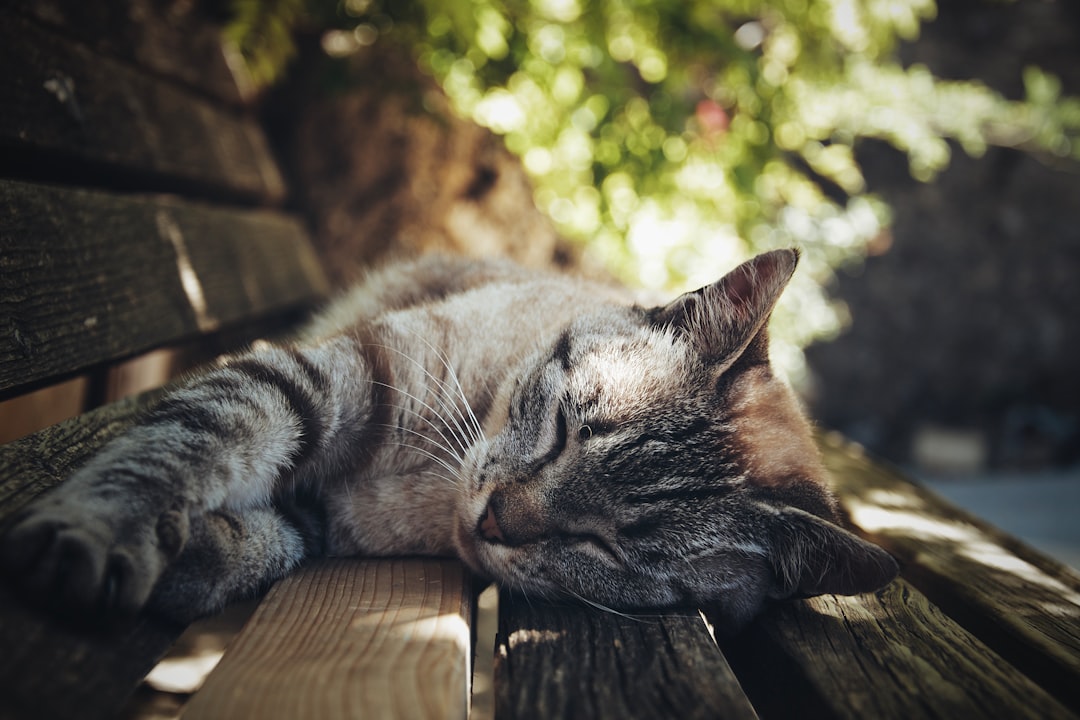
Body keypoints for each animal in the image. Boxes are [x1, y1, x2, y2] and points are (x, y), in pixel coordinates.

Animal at [0, 252, 894, 630]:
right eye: (564, 430)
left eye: (608, 546)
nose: (495, 519)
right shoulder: (316, 381)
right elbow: (180, 451)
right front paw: (100, 532)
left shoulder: (323, 524)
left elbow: (259, 544)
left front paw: (185, 558)